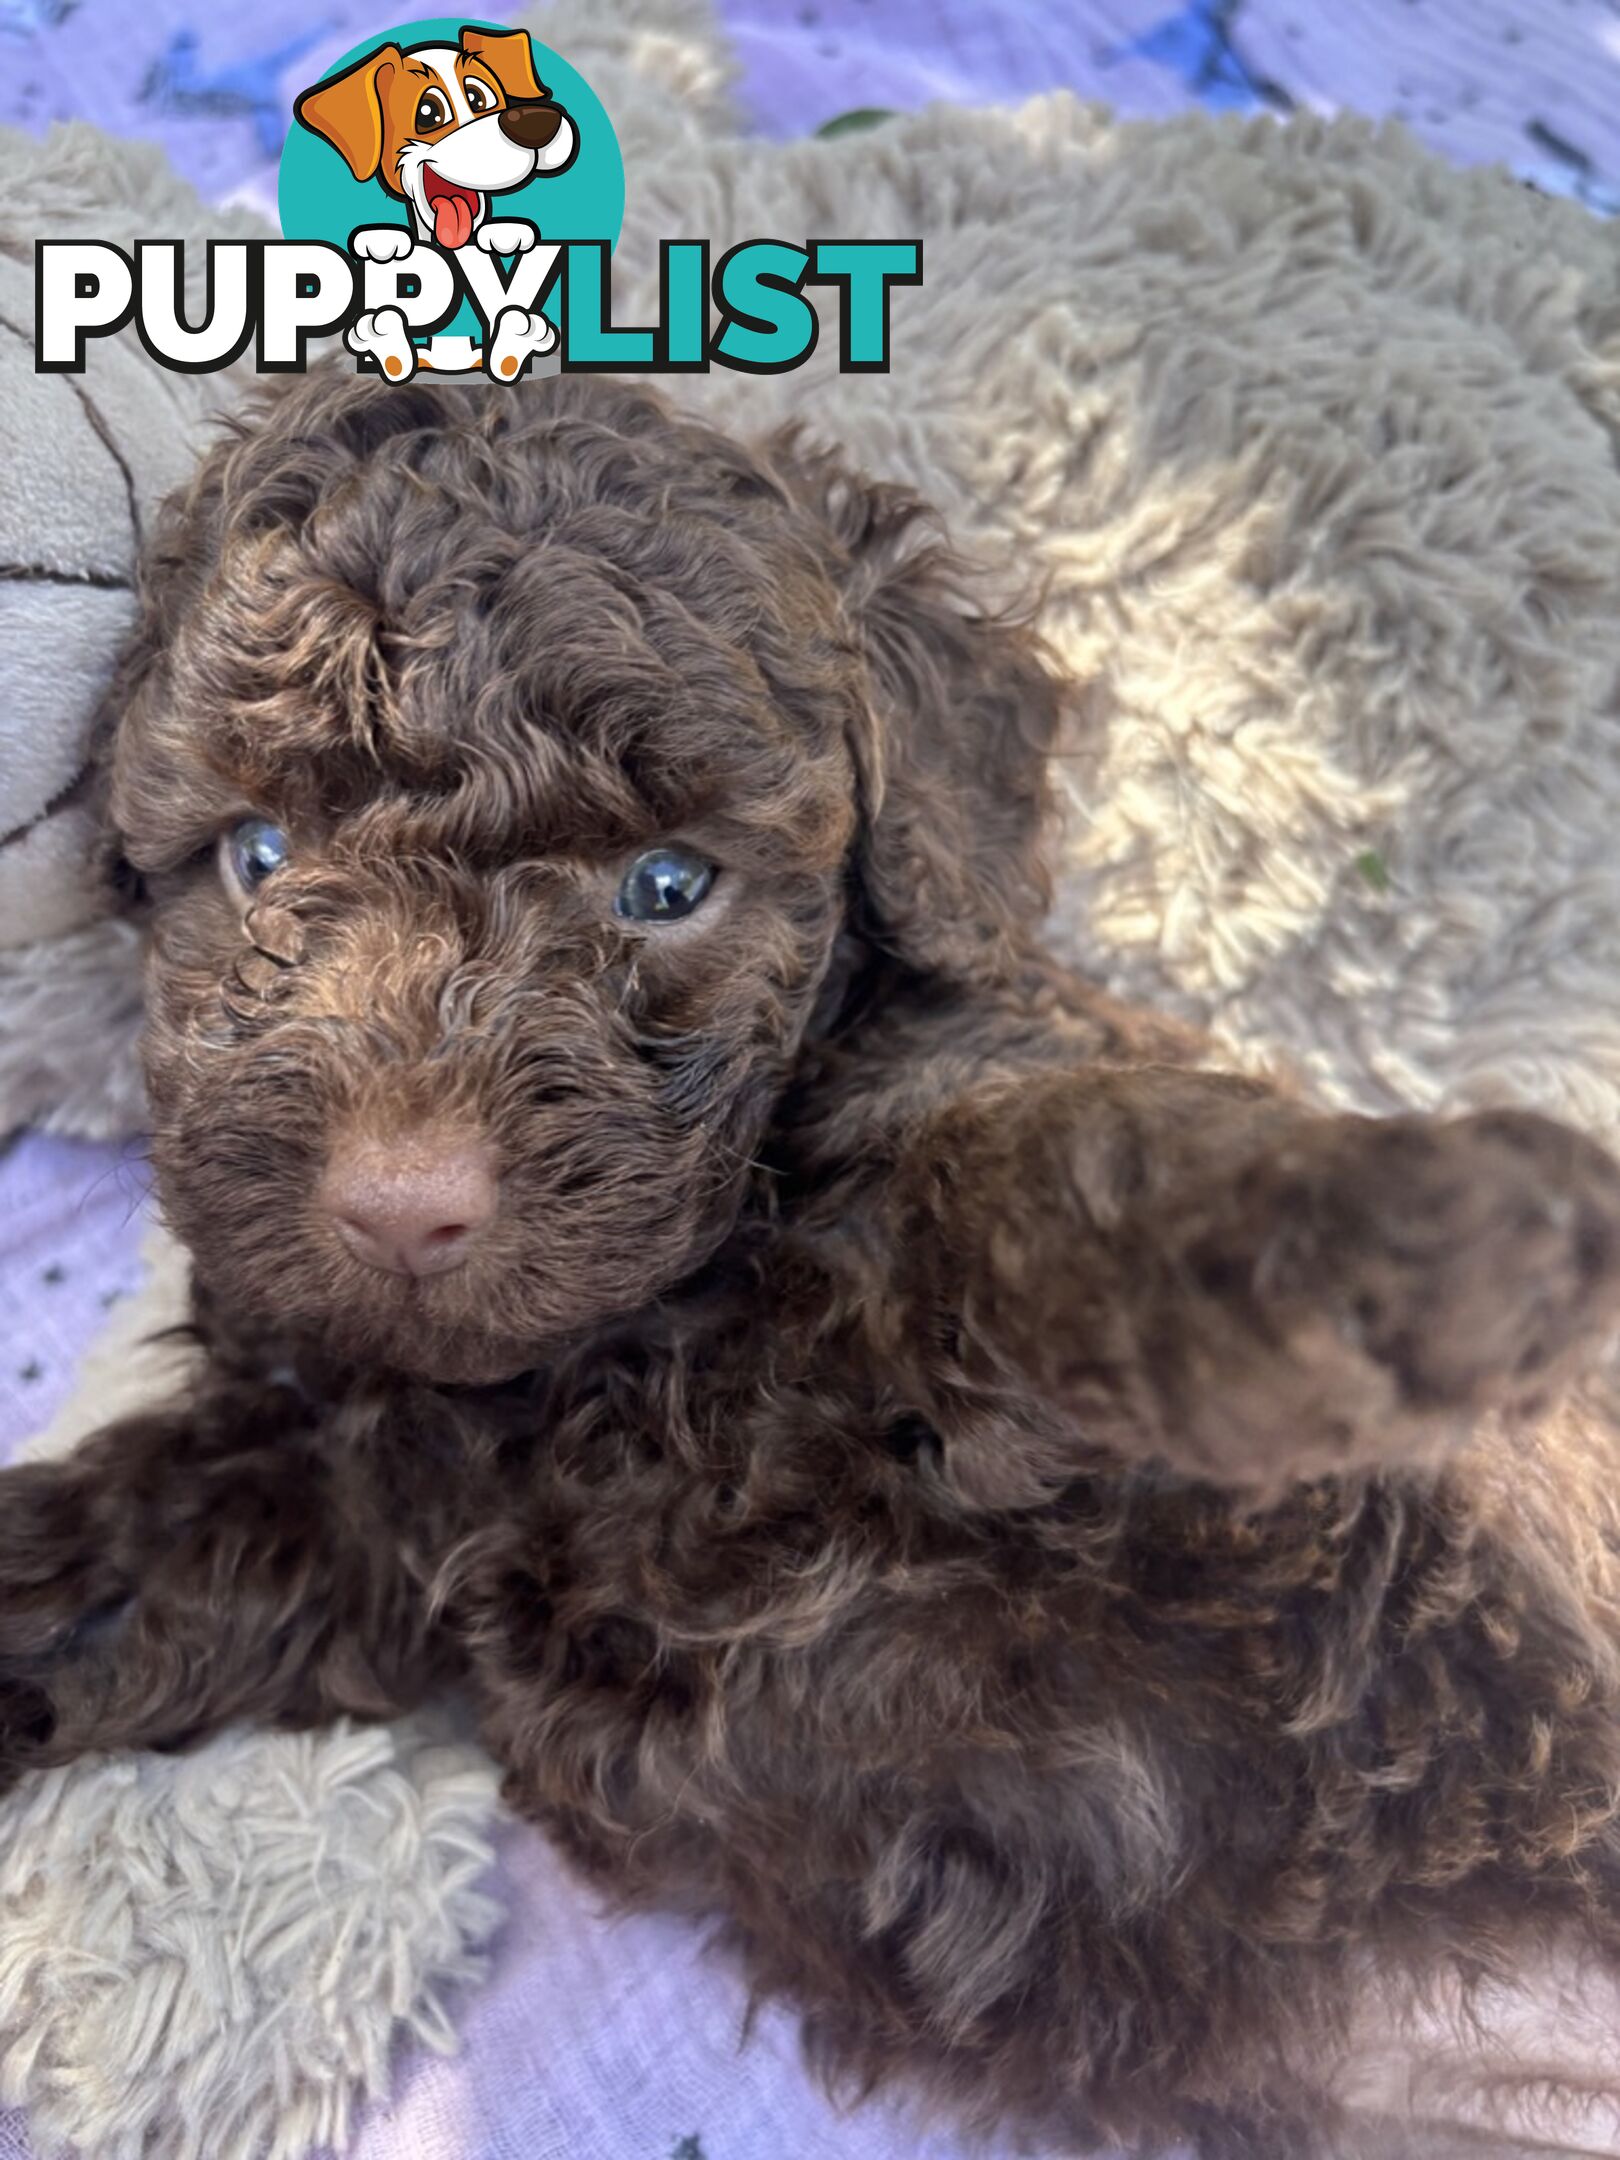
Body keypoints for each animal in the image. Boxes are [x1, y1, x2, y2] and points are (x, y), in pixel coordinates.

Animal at [9, 367, 1620, 2142]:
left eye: (668, 885)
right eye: (256, 856)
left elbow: (1038, 1176)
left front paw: (1408, 1233)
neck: (642, 1338)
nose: (399, 1203)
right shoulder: (362, 1478)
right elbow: (149, 1534)